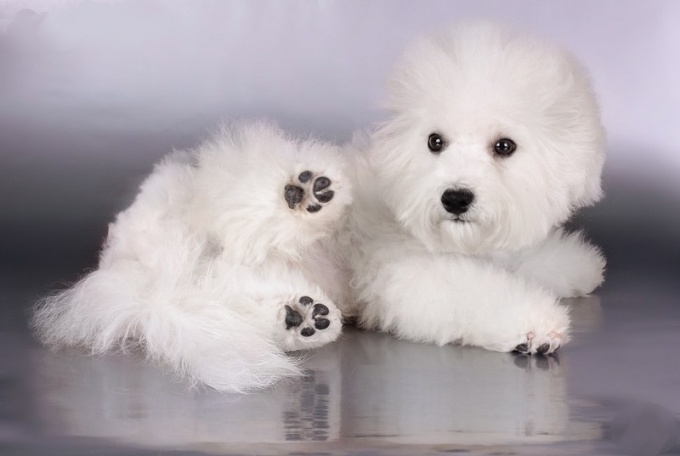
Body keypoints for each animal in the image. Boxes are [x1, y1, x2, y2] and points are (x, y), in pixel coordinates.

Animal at [342, 23, 608, 354]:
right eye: (435, 141)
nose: (455, 198)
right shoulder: (407, 277)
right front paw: (535, 325)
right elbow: (473, 293)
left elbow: (530, 260)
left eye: (504, 146)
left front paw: (580, 263)